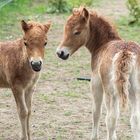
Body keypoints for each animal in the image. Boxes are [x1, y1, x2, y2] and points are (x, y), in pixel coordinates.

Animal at [56, 6, 140, 140]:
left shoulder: (96, 83)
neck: (103, 44)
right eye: (65, 29)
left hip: (111, 92)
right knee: (135, 119)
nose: (60, 53)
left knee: (111, 118)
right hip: (134, 91)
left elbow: (96, 112)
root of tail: (125, 52)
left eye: (77, 32)